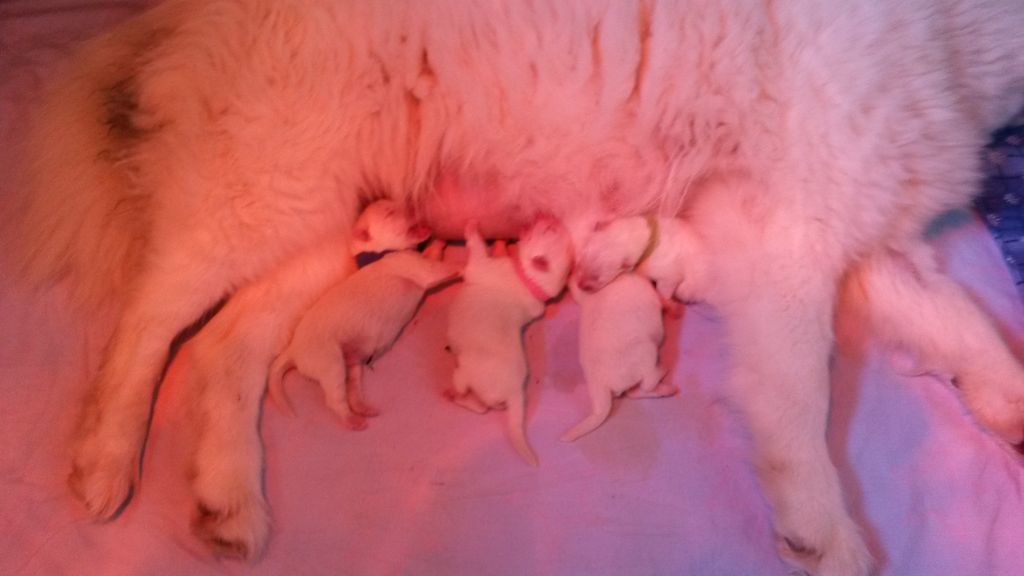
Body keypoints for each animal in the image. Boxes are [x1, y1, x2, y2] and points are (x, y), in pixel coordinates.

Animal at [268, 199, 456, 428]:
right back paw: (352, 421)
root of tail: (293, 349)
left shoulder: (417, 260)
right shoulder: (416, 267)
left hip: (353, 361)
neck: (380, 252)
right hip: (329, 361)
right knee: (335, 399)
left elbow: (431, 253)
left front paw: (439, 240)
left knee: (353, 389)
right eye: (390, 212)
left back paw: (363, 408)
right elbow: (446, 267)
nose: (413, 204)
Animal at [448, 217, 577, 463]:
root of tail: (515, 393)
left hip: (468, 369)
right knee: (484, 408)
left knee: (462, 389)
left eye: (548, 230)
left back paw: (451, 392)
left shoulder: (481, 267)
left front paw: (472, 227)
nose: (549, 218)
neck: (531, 280)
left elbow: (476, 248)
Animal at [561, 270, 679, 440]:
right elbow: (662, 299)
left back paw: (665, 390)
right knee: (647, 383)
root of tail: (600, 385)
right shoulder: (651, 293)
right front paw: (673, 306)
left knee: (633, 392)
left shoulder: (583, 295)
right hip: (645, 350)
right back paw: (663, 372)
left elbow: (576, 290)